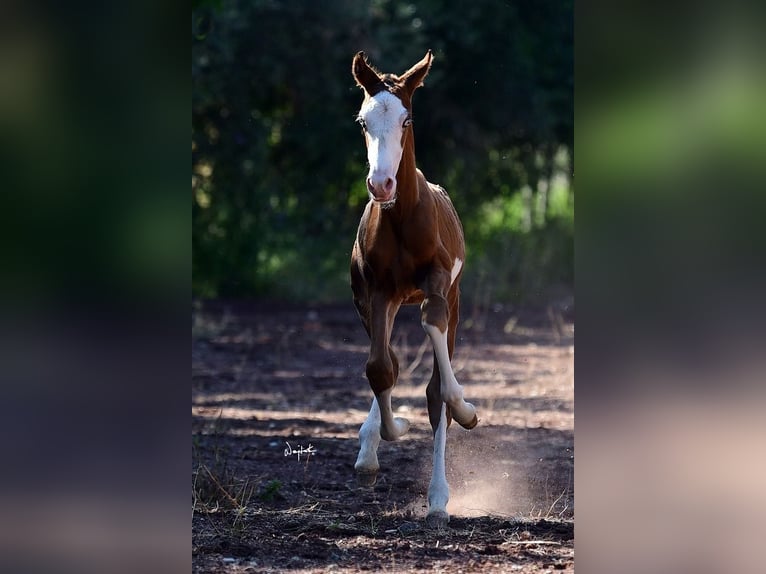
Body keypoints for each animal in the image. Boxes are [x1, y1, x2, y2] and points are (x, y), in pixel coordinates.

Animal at [350, 51, 480, 528]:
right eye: (364, 121)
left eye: (406, 120)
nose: (381, 184)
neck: (401, 215)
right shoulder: (376, 292)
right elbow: (380, 368)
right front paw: (388, 435)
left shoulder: (439, 284)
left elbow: (438, 389)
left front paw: (465, 409)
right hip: (374, 302)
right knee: (386, 357)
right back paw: (370, 447)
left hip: (454, 298)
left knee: (431, 379)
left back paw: (439, 495)